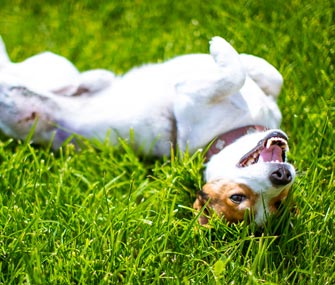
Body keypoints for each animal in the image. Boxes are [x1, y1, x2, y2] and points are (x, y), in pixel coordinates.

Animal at [0, 36, 294, 224]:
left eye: (277, 201)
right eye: (237, 196)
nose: (282, 176)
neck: (231, 132)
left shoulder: (190, 96)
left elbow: (242, 74)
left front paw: (222, 50)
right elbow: (264, 75)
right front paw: (230, 52)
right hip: (56, 65)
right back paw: (84, 82)